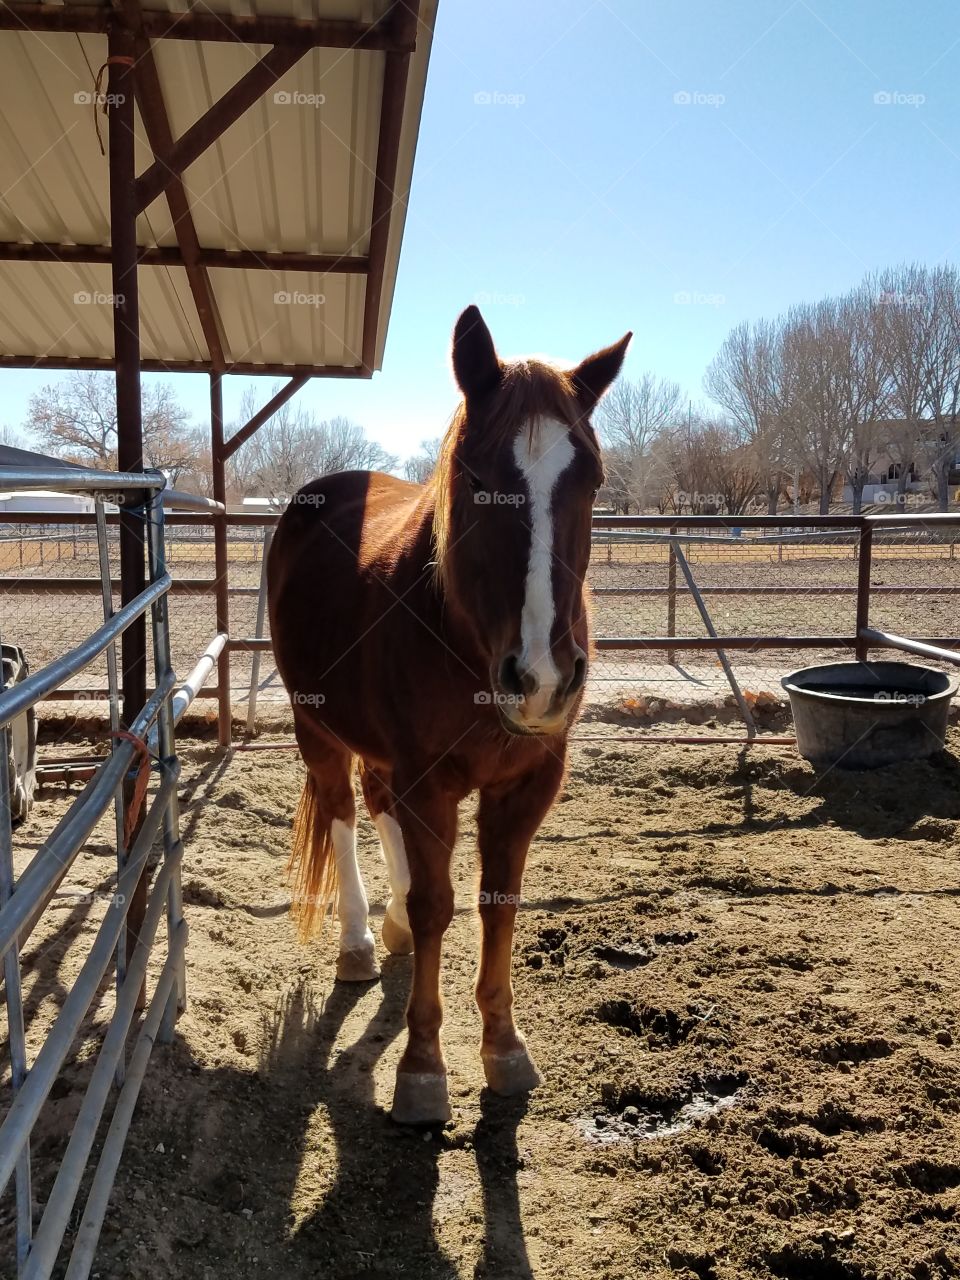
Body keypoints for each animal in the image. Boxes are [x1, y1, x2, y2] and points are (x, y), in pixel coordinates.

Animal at [268, 307, 632, 1121]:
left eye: (592, 480)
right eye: (475, 477)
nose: (542, 678)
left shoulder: (526, 784)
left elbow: (499, 902)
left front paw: (504, 1046)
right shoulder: (428, 779)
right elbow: (439, 903)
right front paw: (423, 1066)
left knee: (377, 806)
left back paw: (392, 928)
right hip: (318, 729)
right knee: (343, 813)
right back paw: (359, 944)